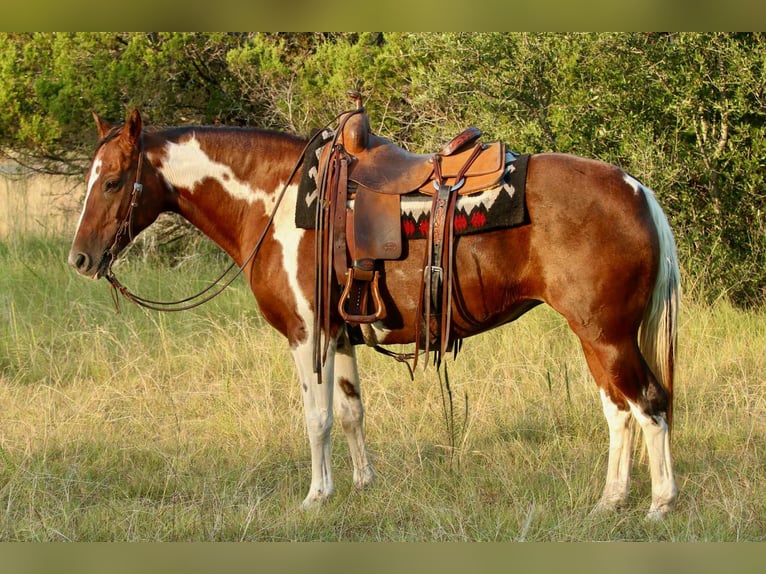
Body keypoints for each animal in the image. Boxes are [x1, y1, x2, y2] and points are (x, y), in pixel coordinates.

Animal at [68, 107, 680, 520]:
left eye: (114, 180)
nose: (80, 259)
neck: (276, 203)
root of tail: (637, 190)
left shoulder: (306, 334)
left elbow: (316, 418)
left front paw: (316, 496)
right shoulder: (340, 336)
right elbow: (351, 411)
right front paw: (362, 485)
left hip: (607, 336)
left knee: (648, 406)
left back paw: (659, 504)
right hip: (595, 337)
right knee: (619, 413)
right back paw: (610, 501)